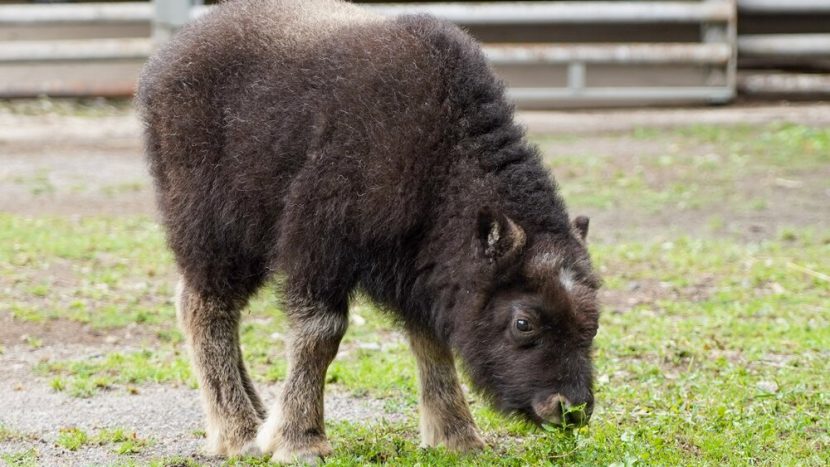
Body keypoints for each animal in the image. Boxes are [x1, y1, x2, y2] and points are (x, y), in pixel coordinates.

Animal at [140, 0, 600, 462]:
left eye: (593, 321)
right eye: (524, 323)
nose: (570, 409)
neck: (439, 157)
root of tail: (165, 64)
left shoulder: (417, 272)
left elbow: (430, 341)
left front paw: (458, 438)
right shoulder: (318, 249)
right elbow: (320, 335)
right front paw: (301, 442)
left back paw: (256, 418)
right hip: (215, 233)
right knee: (206, 308)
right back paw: (240, 433)